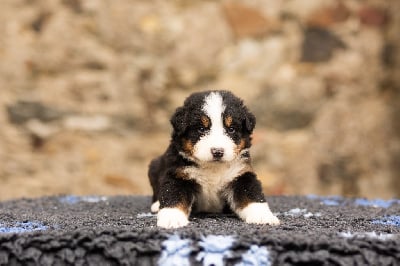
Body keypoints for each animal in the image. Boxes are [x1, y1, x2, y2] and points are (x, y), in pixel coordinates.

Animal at [147, 90, 278, 229]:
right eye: (201, 129)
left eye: (231, 129)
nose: (217, 151)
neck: (213, 168)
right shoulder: (179, 174)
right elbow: (173, 195)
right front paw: (171, 219)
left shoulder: (241, 174)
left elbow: (252, 196)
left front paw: (263, 217)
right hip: (154, 167)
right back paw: (156, 205)